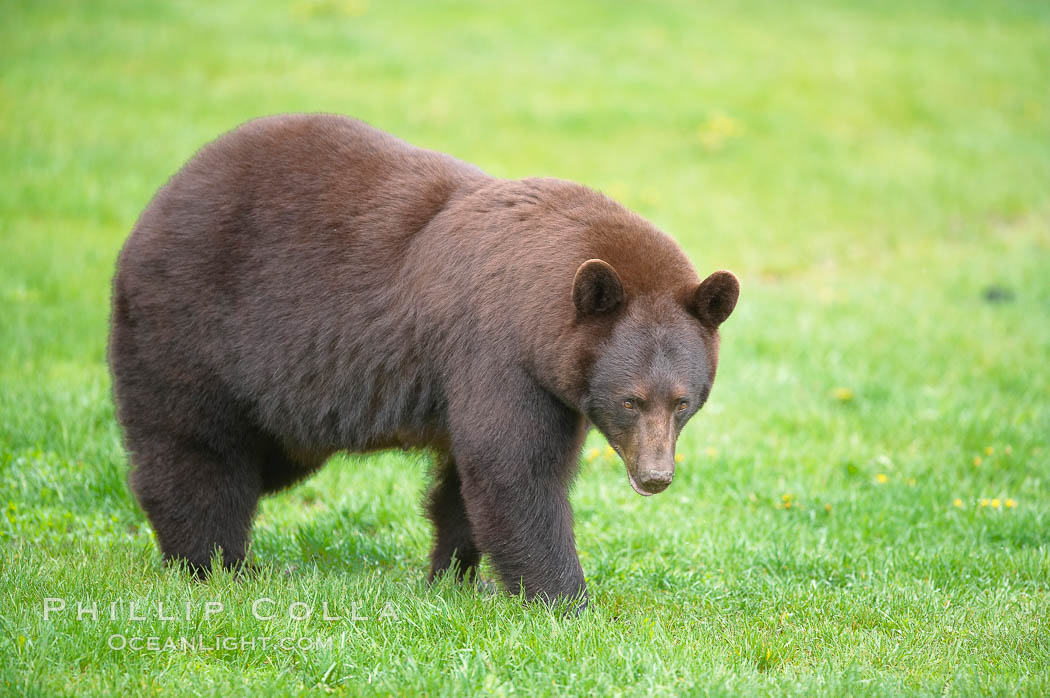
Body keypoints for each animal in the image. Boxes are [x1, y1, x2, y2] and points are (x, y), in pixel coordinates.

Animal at [108, 111, 739, 608]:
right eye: (630, 400)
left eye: (683, 402)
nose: (655, 476)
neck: (540, 307)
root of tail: (160, 199)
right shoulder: (497, 353)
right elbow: (516, 473)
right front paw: (566, 601)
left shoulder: (544, 381)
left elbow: (465, 483)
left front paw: (453, 580)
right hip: (194, 326)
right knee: (198, 452)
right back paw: (214, 567)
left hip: (276, 407)